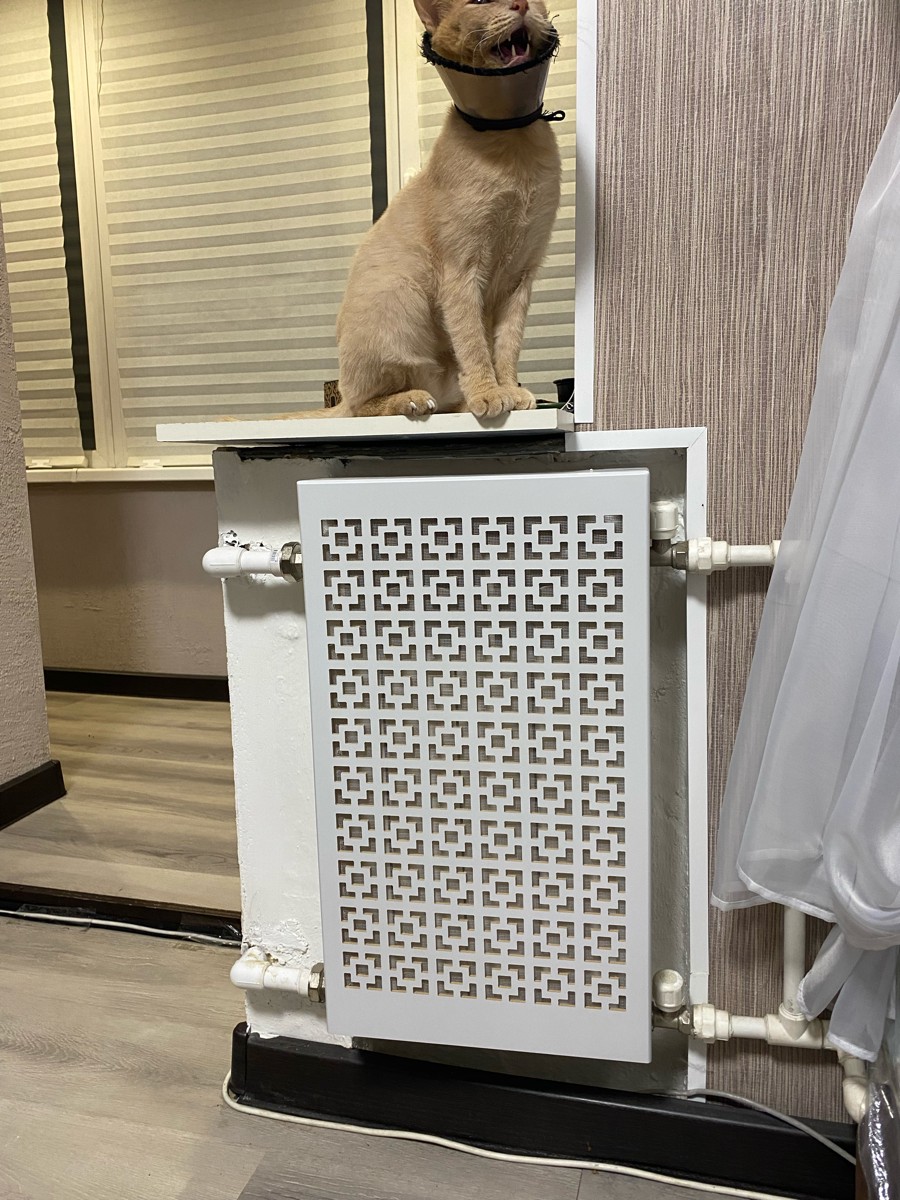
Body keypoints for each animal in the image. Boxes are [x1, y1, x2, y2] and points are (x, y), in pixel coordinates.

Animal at [321, 0, 561, 420]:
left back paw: (458, 401)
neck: (510, 139)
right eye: (479, 2)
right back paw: (413, 399)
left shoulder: (521, 276)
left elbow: (507, 344)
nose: (519, 4)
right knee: (360, 404)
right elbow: (474, 342)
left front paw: (509, 390)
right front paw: (490, 394)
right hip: (401, 297)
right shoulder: (462, 270)